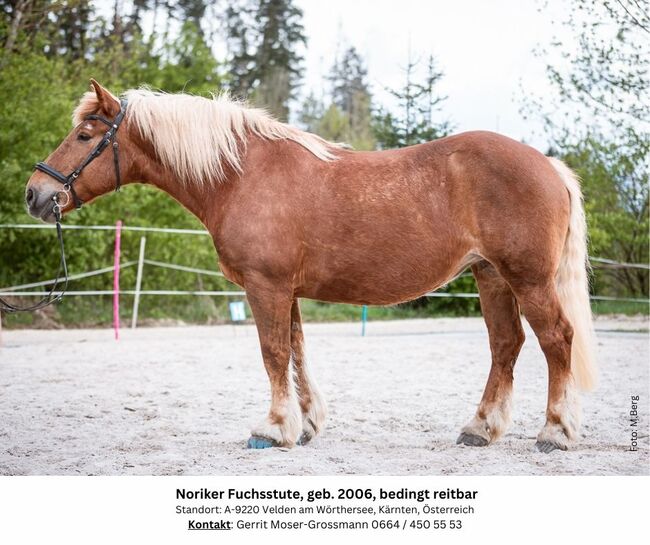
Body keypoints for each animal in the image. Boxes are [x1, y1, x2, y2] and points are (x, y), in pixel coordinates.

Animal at [25, 79, 596, 450]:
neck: (241, 175)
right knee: (506, 346)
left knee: (555, 340)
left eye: (83, 136)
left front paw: (273, 428)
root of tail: (548, 165)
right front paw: (306, 424)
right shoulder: (287, 291)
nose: (35, 194)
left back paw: (554, 431)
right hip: (491, 276)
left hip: (528, 279)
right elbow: (297, 351)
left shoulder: (266, 287)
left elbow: (273, 353)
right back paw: (480, 429)